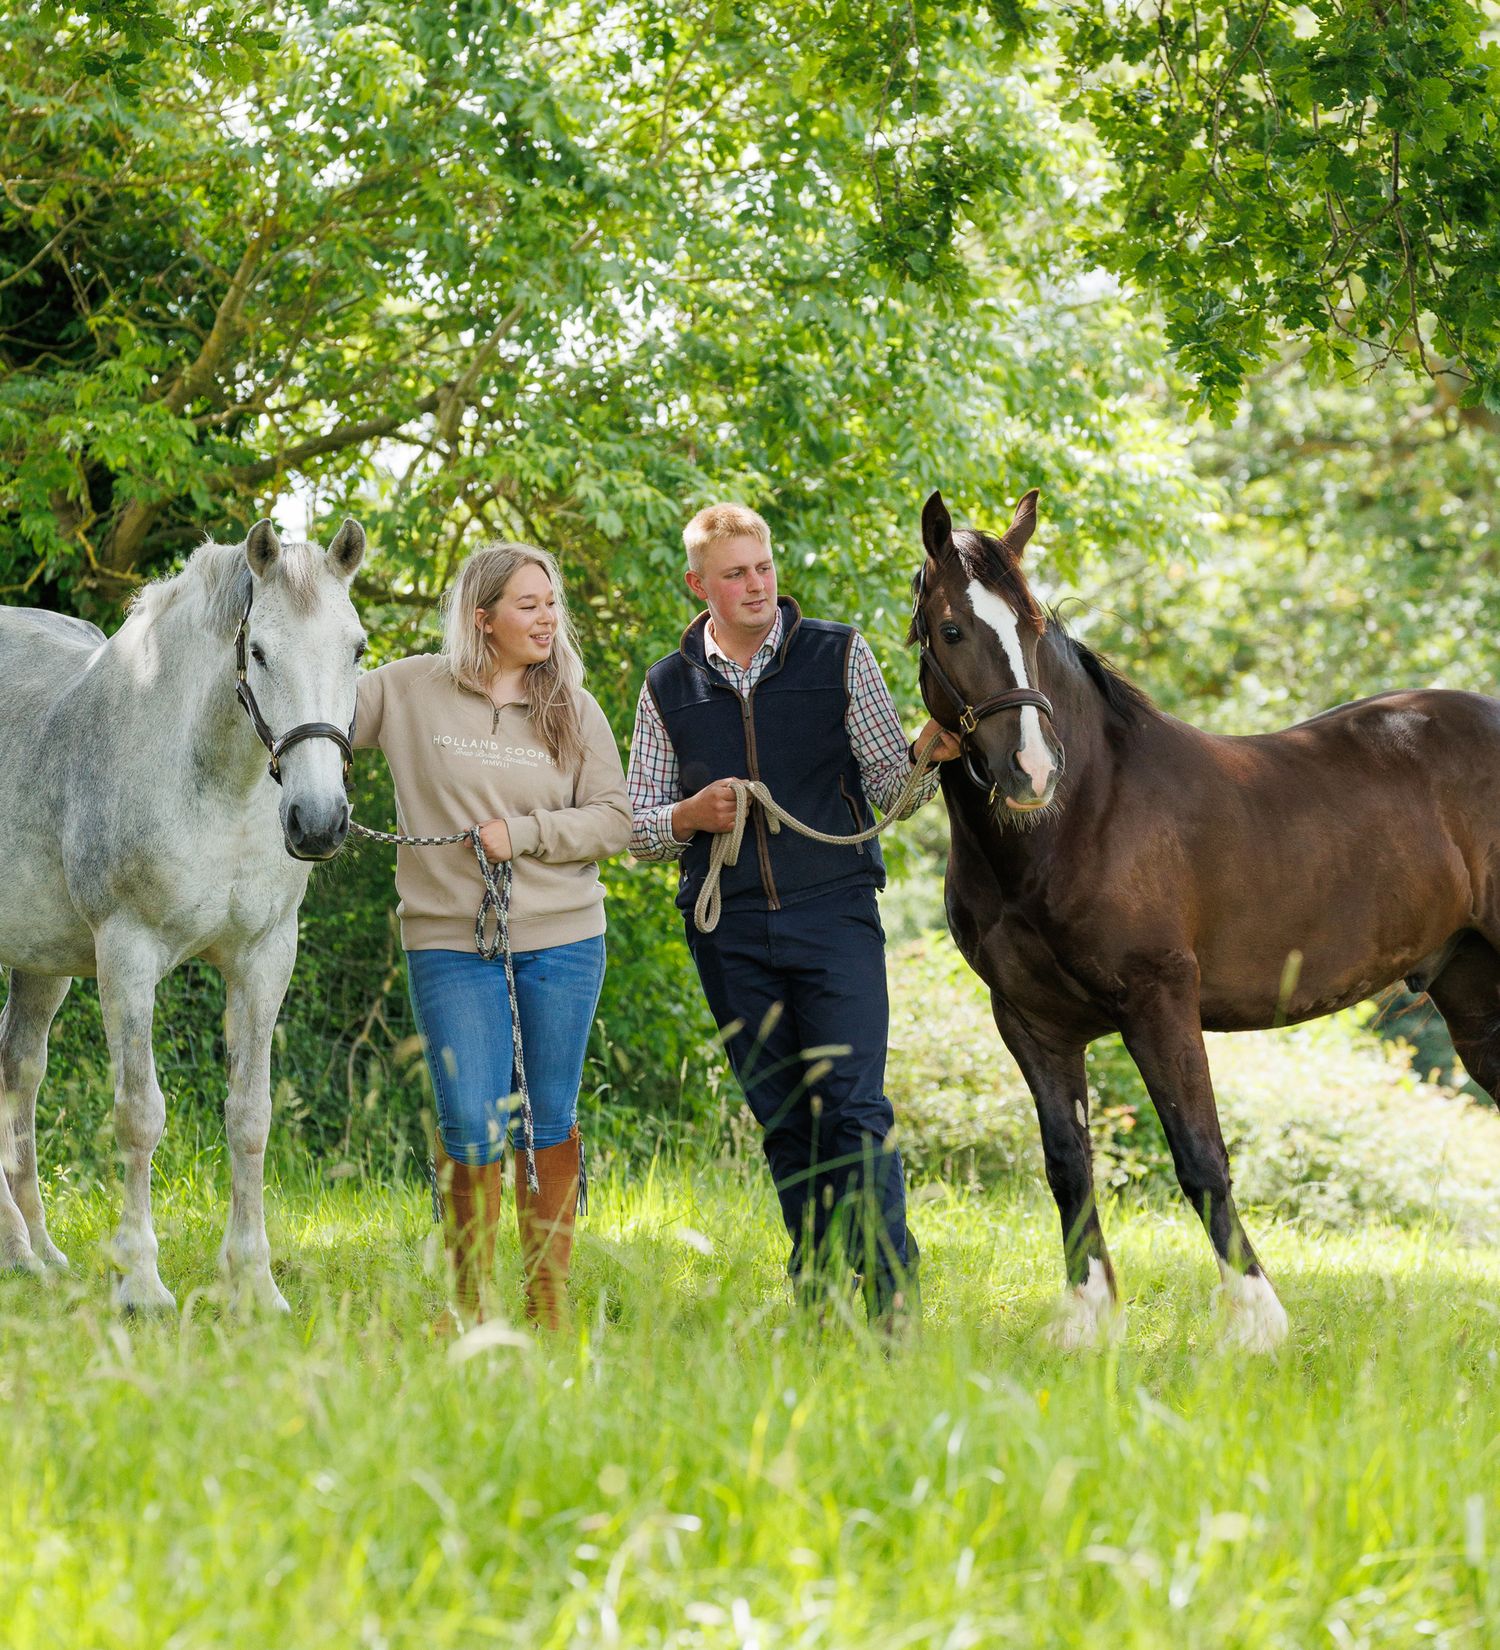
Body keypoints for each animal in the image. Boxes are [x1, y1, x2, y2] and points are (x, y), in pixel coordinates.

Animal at [0, 518, 367, 1311]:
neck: (214, 784)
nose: (319, 821)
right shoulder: (127, 957)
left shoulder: (264, 958)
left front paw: (255, 1283)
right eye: (258, 651)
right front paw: (140, 1283)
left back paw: (35, 1253)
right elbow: (139, 1115)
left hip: (41, 962)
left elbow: (250, 1116)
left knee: (19, 1074)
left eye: (357, 649)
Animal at [912, 488, 1500, 1350]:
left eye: (1033, 626)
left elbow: (1200, 1158)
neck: (1084, 814)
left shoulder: (1160, 1002)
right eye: (953, 629)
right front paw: (1087, 1324)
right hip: (1474, 993)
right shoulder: (1030, 1023)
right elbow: (1068, 1167)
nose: (1032, 771)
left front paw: (1255, 1324)